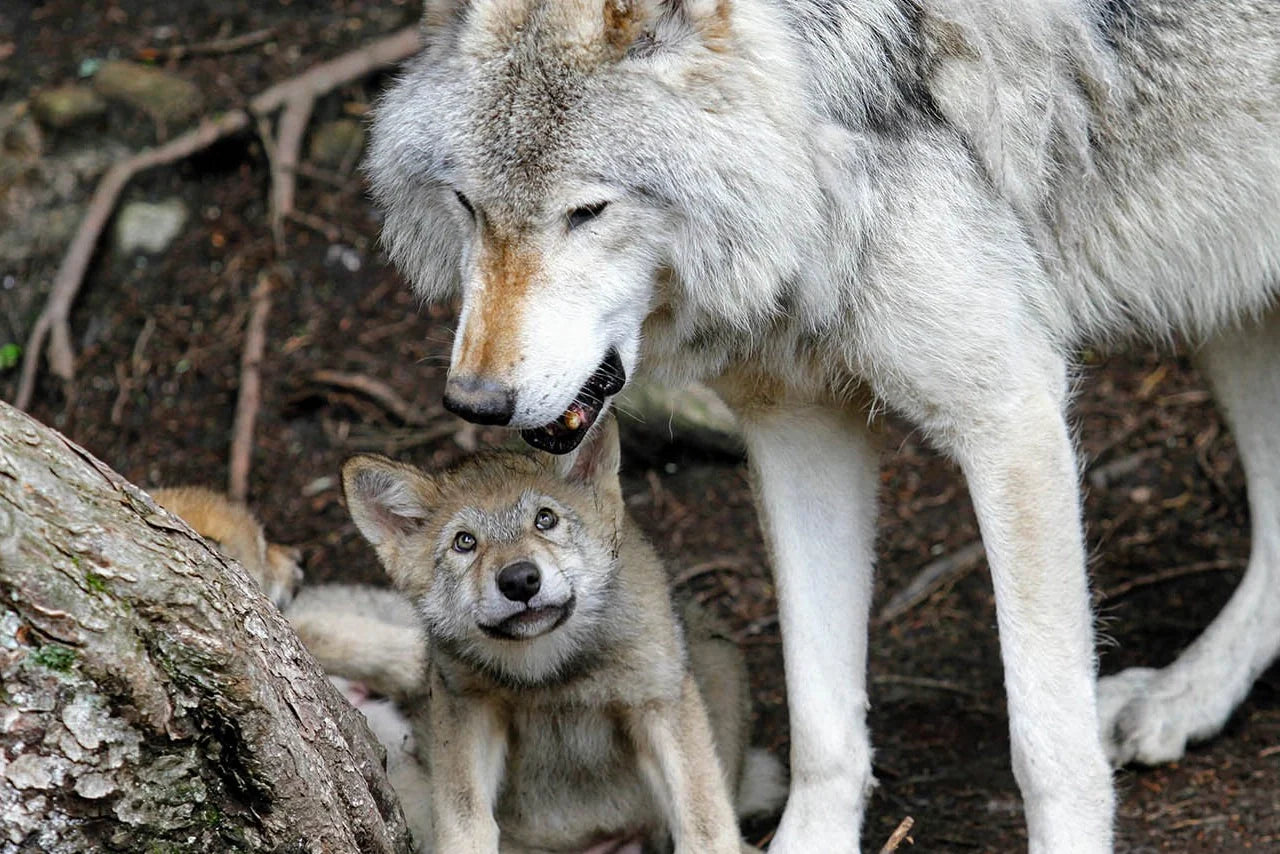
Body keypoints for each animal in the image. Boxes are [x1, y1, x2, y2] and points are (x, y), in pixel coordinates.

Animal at [341, 417, 784, 853]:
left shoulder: (657, 701)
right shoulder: (467, 704)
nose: (519, 580)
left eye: (545, 519)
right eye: (464, 542)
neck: (550, 673)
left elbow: (704, 822)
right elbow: (464, 820)